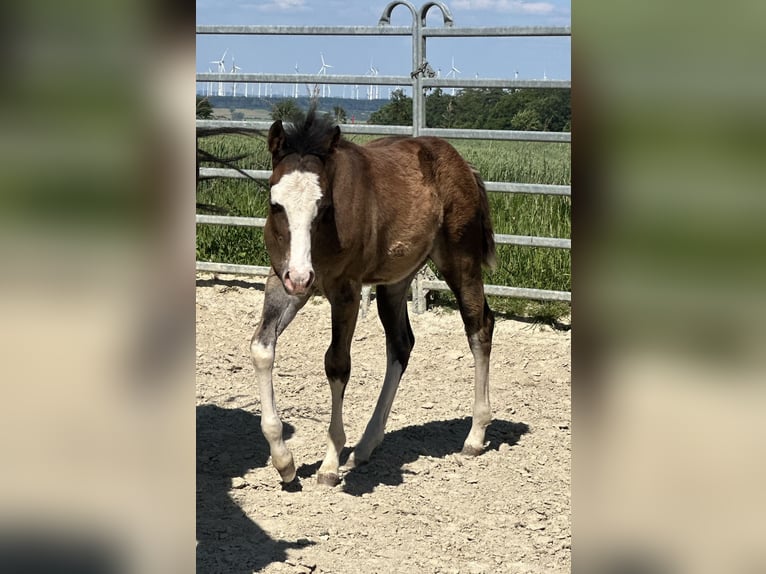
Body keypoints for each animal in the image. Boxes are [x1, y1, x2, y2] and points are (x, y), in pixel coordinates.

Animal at [252, 108, 498, 486]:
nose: (301, 277)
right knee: (401, 344)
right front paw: (284, 462)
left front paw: (329, 464)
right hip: (396, 280)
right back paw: (365, 446)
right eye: (275, 203)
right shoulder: (284, 282)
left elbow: (337, 364)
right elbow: (262, 349)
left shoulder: (346, 290)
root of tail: (463, 165)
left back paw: (475, 436)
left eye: (323, 206)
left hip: (462, 261)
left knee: (479, 327)